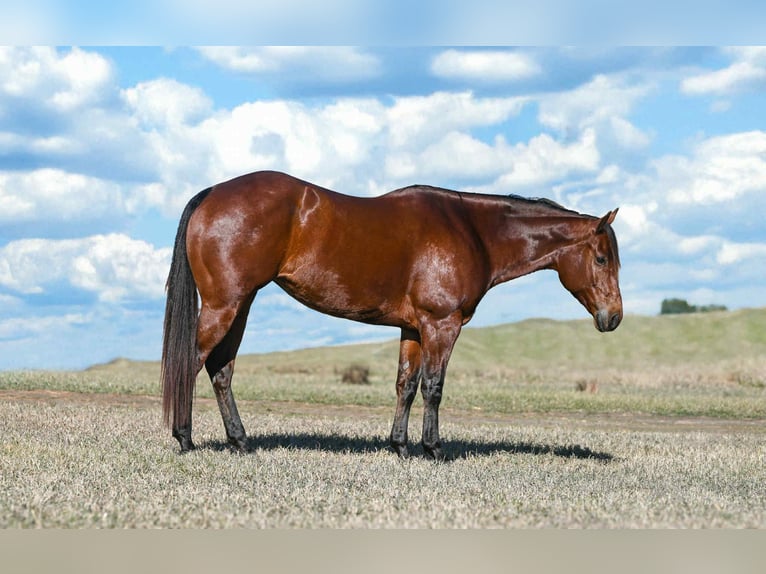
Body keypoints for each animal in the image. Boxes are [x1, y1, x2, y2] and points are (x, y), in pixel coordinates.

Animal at [161, 170, 622, 460]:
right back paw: (184, 439)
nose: (614, 318)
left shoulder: (413, 329)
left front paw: (399, 446)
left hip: (240, 306)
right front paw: (433, 449)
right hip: (224, 306)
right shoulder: (441, 325)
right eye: (601, 258)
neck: (472, 231)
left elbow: (406, 386)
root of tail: (213, 193)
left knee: (221, 370)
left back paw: (240, 441)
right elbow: (434, 387)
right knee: (192, 362)